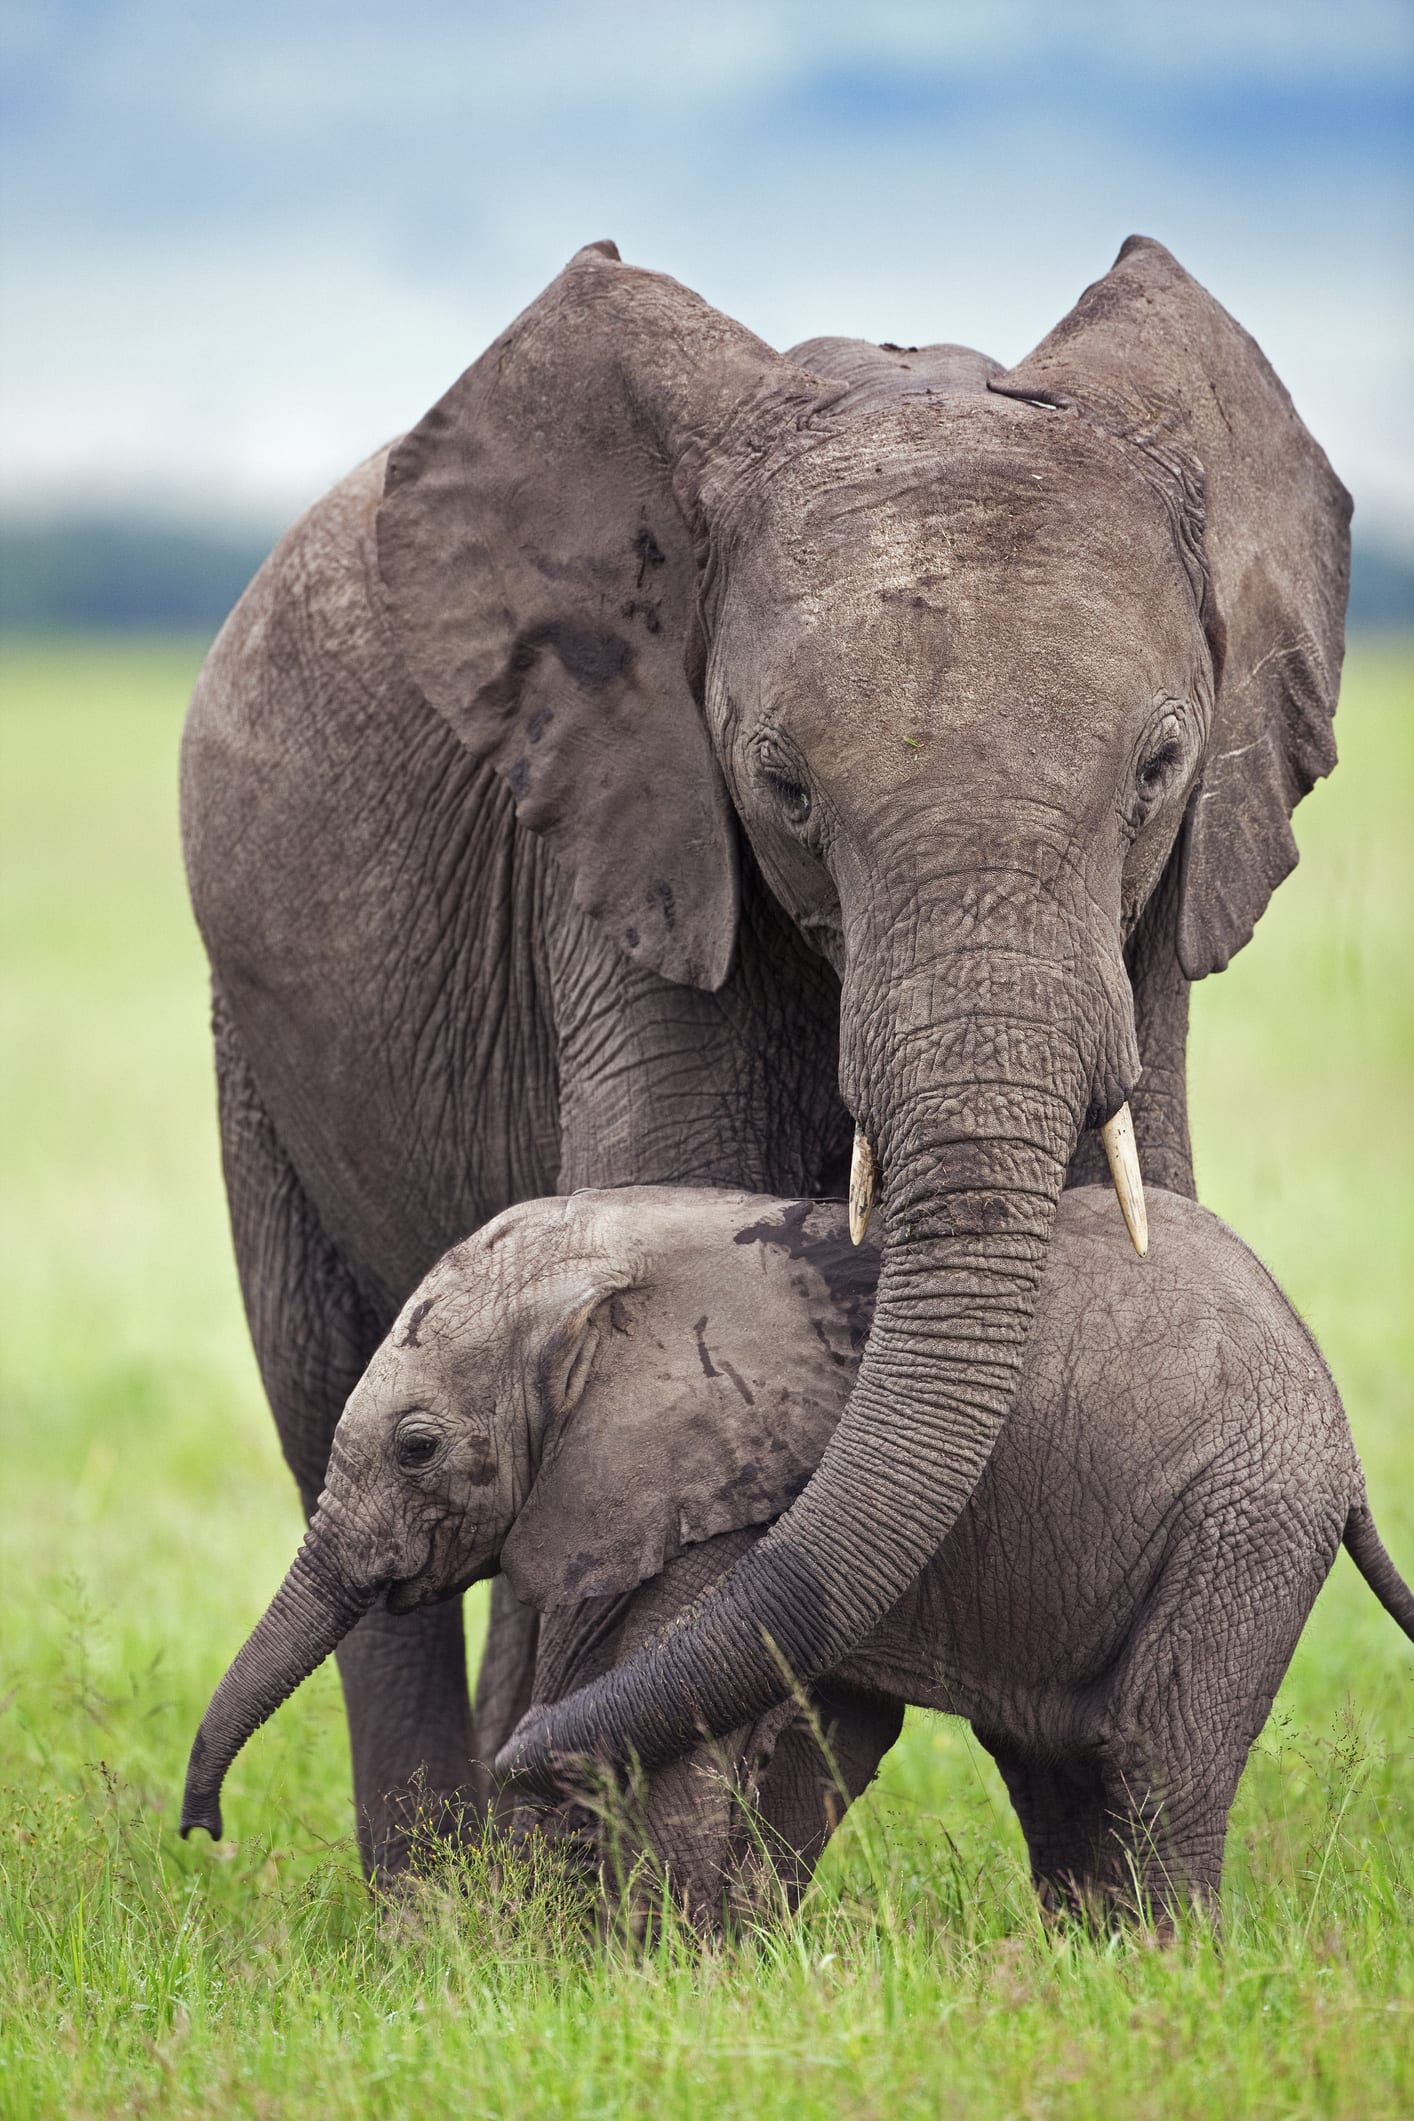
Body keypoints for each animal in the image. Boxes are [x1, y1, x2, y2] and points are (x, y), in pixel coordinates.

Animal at [180, 228, 1348, 1857]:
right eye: (781, 785)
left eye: (1160, 767)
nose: (536, 1770)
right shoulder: (625, 839)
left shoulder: (1160, 920)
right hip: (254, 1032)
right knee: (320, 1406)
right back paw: (431, 1893)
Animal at [182, 1187, 1407, 1934]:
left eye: (418, 1446)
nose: (203, 1834)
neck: (619, 1266)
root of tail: (1337, 1430)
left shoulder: (731, 1498)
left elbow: (668, 1710)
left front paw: (653, 1973)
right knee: (1052, 1757)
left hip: (1244, 1510)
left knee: (1155, 1746)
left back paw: (1164, 1967)